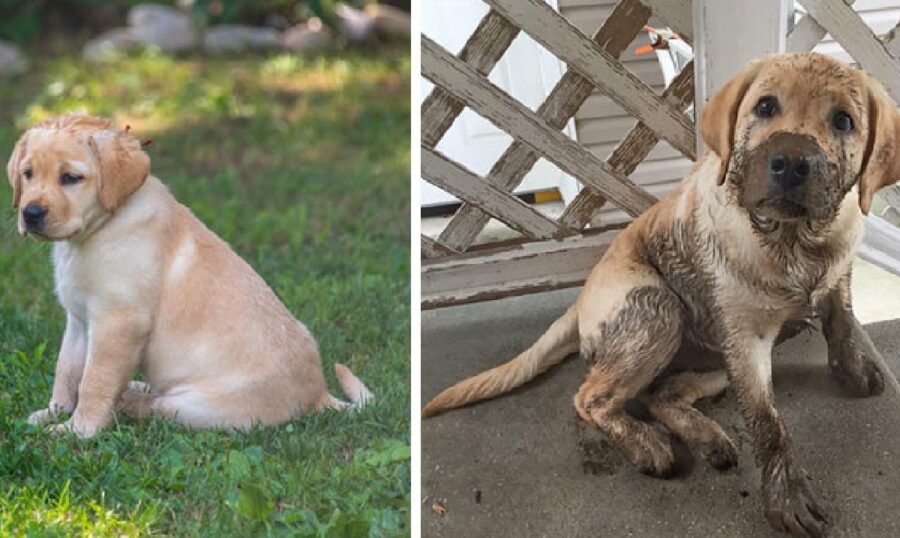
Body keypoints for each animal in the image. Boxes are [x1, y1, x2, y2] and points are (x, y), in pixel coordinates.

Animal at [7, 115, 372, 438]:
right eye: (28, 174)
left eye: (70, 177)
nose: (31, 213)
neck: (97, 231)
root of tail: (318, 393)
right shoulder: (79, 320)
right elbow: (67, 369)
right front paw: (52, 411)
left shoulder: (118, 322)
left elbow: (94, 380)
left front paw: (78, 430)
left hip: (198, 406)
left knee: (157, 407)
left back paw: (128, 400)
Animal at [424, 51, 900, 536]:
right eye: (765, 106)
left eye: (843, 120)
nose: (790, 162)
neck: (795, 241)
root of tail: (579, 304)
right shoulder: (747, 340)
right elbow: (768, 424)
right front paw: (787, 498)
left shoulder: (837, 277)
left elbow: (841, 325)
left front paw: (853, 372)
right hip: (660, 310)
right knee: (591, 398)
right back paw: (648, 445)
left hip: (719, 351)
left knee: (662, 394)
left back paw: (706, 436)